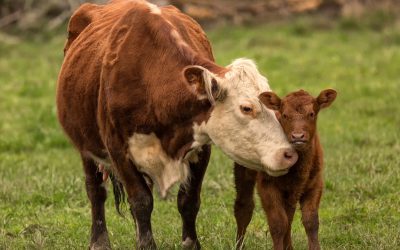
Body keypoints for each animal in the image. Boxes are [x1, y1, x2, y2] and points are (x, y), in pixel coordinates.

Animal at [55, 0, 296, 249]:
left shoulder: (201, 146)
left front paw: (190, 243)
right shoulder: (118, 149)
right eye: (246, 108)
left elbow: (188, 200)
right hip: (86, 146)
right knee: (95, 190)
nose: (289, 154)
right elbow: (141, 201)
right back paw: (99, 241)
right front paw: (146, 245)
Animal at [234, 89, 338, 249]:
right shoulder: (267, 186)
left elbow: (311, 221)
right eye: (284, 115)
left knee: (289, 216)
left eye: (311, 114)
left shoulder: (315, 184)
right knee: (244, 207)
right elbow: (278, 223)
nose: (298, 136)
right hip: (243, 170)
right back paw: (239, 245)